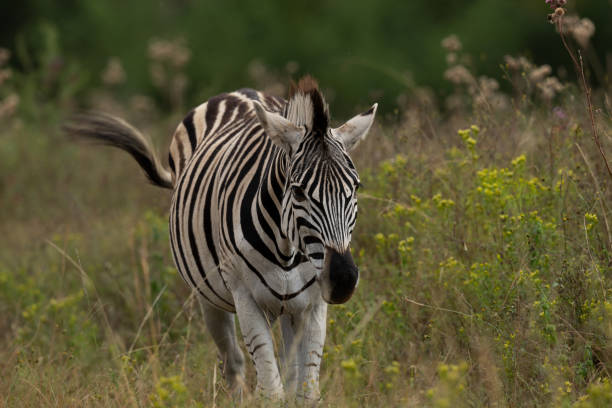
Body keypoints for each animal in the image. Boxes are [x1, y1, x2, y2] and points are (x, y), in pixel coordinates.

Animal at [64, 75, 376, 398]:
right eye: (299, 191)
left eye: (356, 187)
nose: (343, 279)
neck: (287, 250)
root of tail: (241, 92)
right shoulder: (245, 296)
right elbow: (270, 390)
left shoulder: (313, 303)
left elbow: (305, 392)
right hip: (208, 296)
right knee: (233, 363)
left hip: (291, 307)